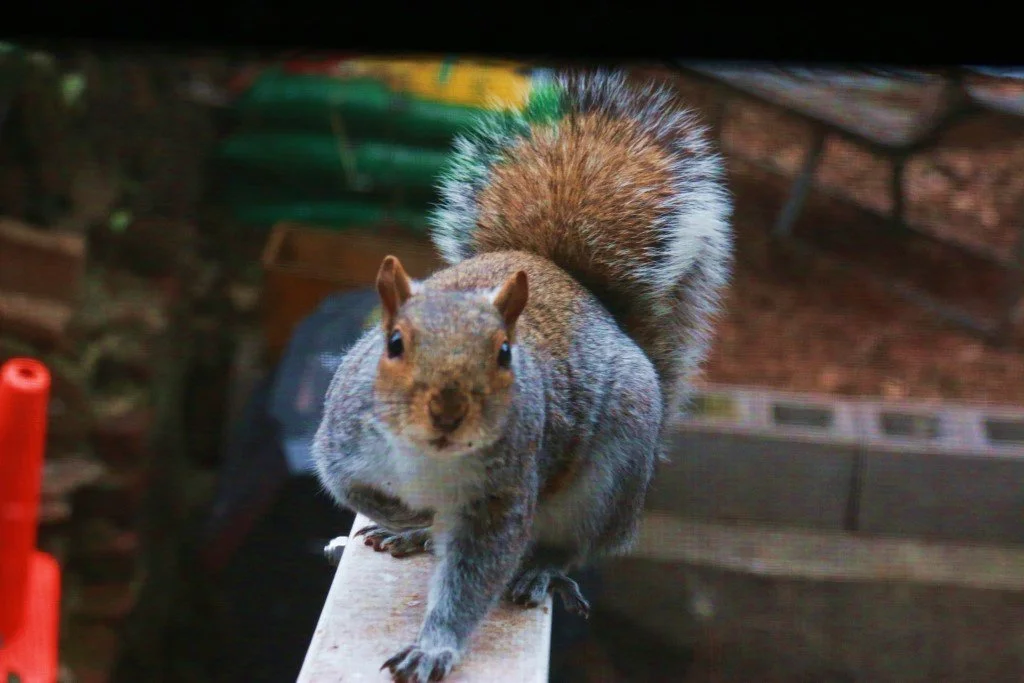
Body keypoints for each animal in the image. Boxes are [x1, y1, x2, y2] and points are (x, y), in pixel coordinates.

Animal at [313, 69, 732, 683]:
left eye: (505, 354)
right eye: (394, 344)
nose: (447, 413)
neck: (429, 462)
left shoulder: (504, 496)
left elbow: (474, 576)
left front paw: (435, 646)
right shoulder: (342, 443)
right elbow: (349, 487)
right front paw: (407, 517)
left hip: (611, 476)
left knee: (574, 544)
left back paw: (541, 570)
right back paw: (413, 533)